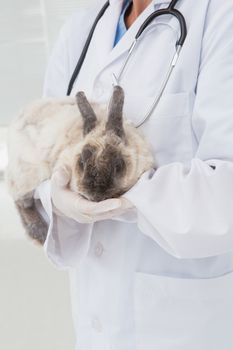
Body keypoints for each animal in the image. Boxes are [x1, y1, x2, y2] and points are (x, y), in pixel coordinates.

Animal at [5, 86, 155, 246]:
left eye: (118, 165)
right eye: (81, 162)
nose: (96, 196)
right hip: (26, 175)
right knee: (21, 202)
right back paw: (40, 233)